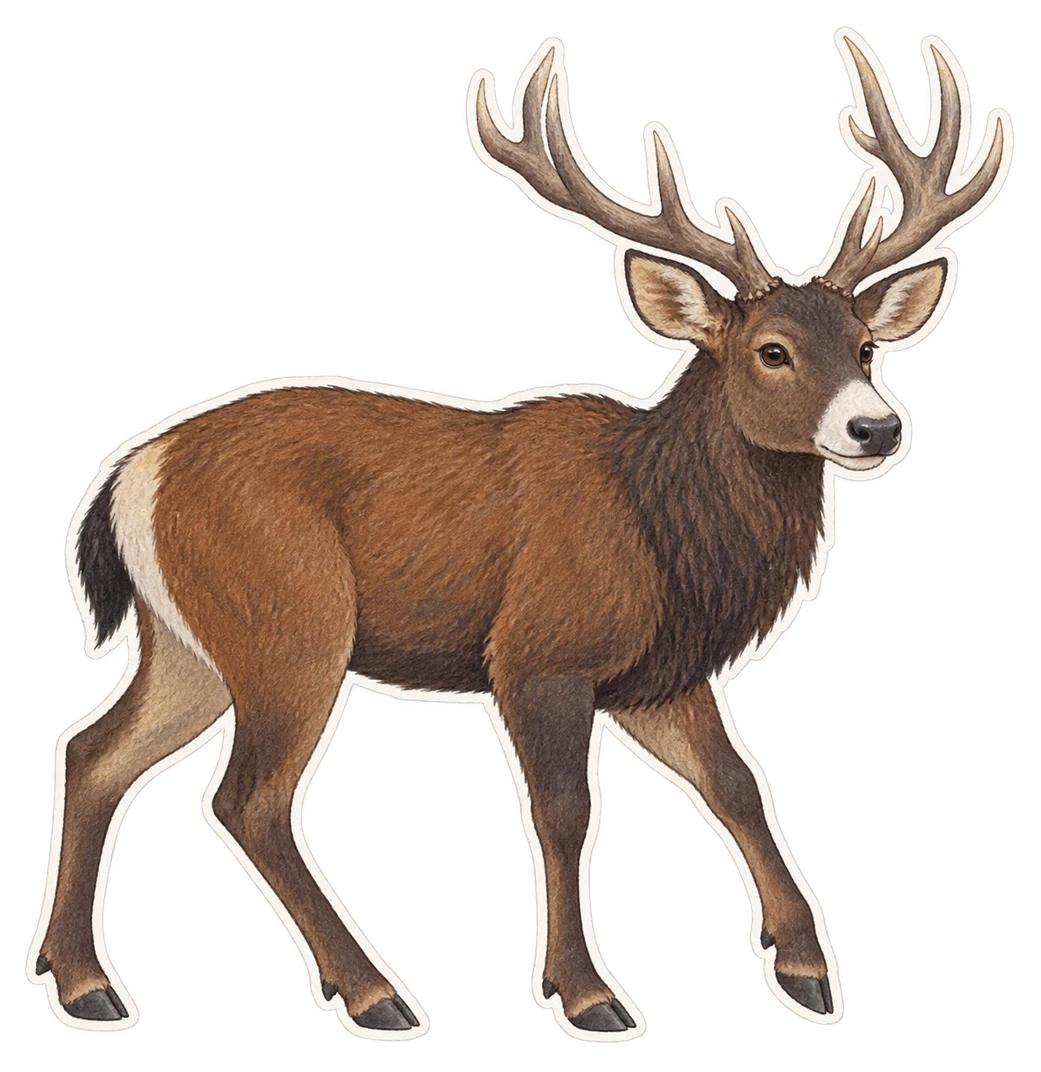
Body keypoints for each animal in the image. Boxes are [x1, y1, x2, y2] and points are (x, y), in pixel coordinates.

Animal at [27, 28, 1011, 1041]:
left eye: (864, 346)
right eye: (769, 351)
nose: (876, 428)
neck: (659, 534)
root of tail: (131, 476)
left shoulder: (660, 674)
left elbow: (737, 782)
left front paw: (807, 971)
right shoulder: (542, 650)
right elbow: (567, 809)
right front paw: (586, 994)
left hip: (191, 639)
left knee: (92, 752)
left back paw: (86, 983)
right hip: (288, 618)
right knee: (247, 796)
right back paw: (375, 992)